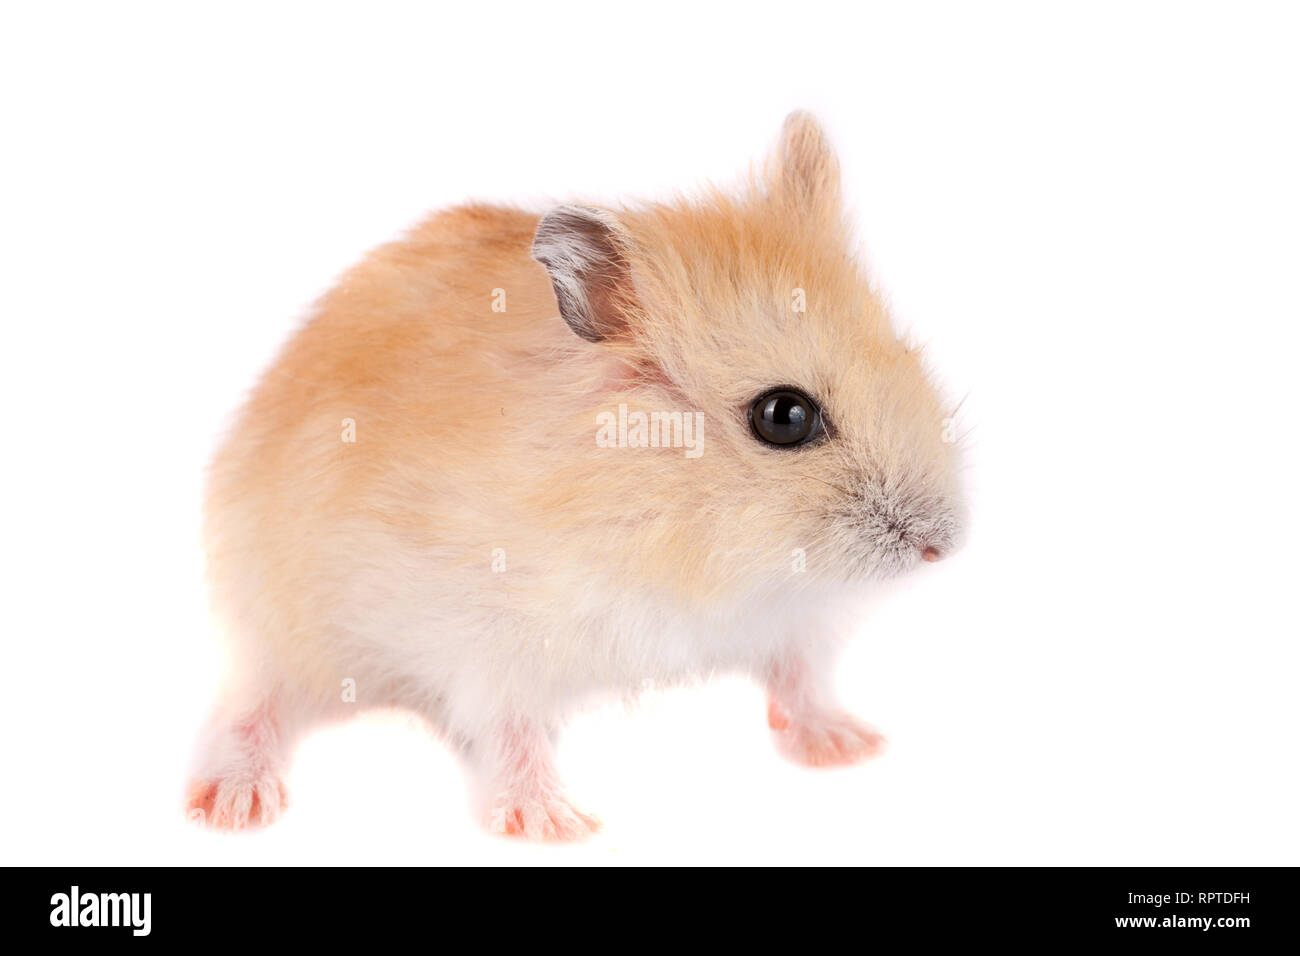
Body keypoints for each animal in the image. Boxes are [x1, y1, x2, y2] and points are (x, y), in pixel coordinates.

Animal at [187, 112, 965, 840]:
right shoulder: (488, 639)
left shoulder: (788, 616)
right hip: (282, 615)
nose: (943, 547)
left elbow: (800, 676)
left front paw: (851, 747)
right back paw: (231, 806)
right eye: (784, 416)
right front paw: (556, 826)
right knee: (251, 702)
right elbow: (512, 730)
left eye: (901, 351)